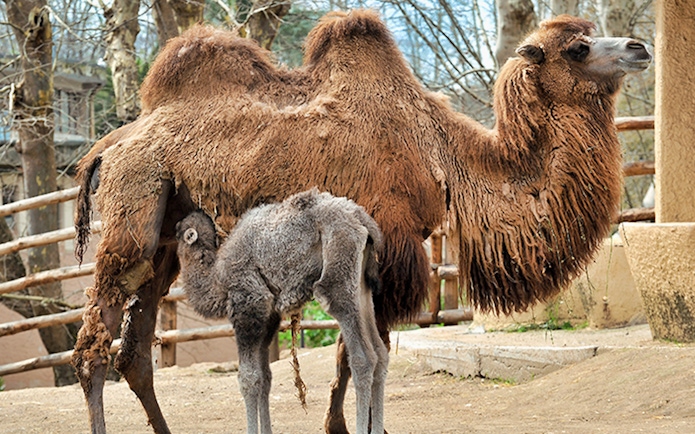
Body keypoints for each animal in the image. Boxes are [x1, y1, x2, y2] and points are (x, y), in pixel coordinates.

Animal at [175, 189, 388, 434]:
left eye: (178, 231)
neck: (217, 279)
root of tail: (364, 222)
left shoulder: (248, 304)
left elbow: (248, 378)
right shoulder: (268, 318)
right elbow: (264, 377)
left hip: (338, 272)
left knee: (363, 357)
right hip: (362, 285)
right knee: (381, 353)